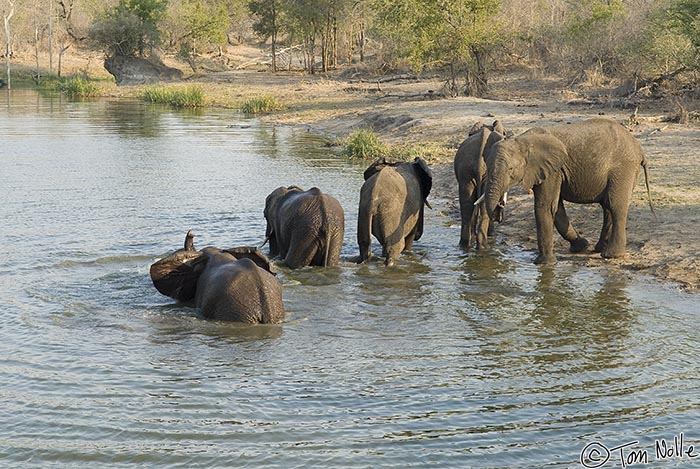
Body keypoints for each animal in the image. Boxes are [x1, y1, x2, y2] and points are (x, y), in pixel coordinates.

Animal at [478, 117, 652, 264]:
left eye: (511, 169)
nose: (499, 212)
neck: (522, 141)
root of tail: (639, 148)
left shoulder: (552, 171)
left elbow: (544, 207)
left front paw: (544, 263)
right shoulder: (550, 171)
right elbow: (556, 209)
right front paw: (581, 246)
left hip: (623, 169)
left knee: (616, 206)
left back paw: (611, 255)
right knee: (607, 206)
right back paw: (598, 249)